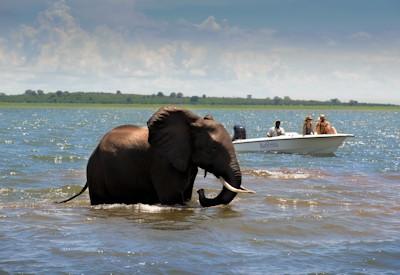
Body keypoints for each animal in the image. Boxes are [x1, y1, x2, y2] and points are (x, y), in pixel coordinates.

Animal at [58, 106, 253, 208]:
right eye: (212, 149)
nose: (202, 191)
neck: (191, 123)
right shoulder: (162, 163)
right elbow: (172, 198)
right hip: (97, 173)